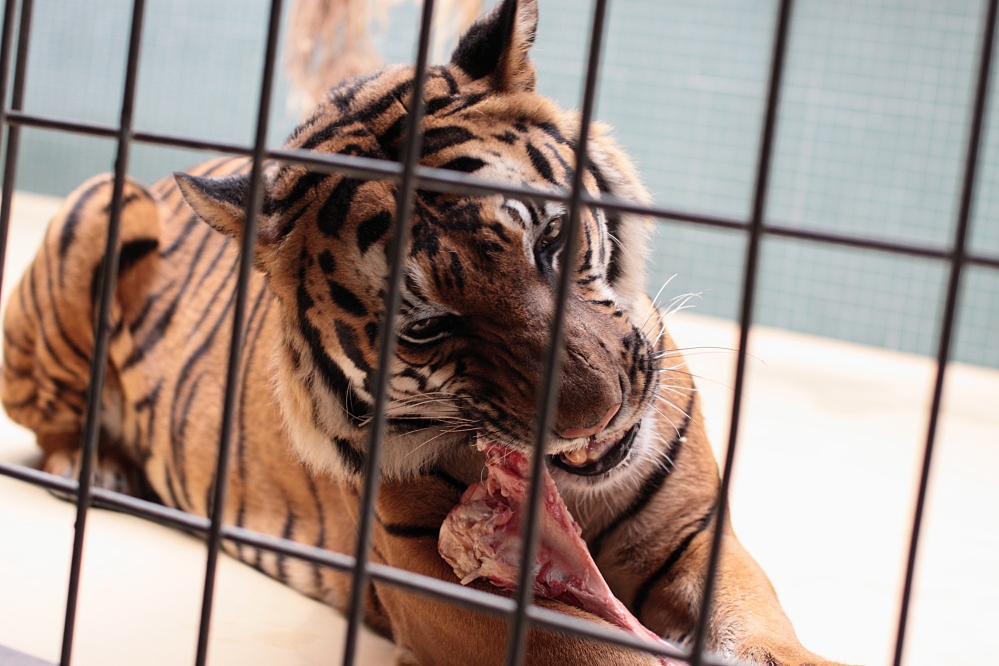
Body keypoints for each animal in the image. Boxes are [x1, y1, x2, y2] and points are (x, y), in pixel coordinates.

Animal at [0, 1, 848, 664]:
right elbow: (599, 653)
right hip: (106, 198)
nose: (598, 417)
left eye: (552, 241)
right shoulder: (442, 583)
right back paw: (100, 467)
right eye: (429, 326)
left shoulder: (692, 534)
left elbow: (758, 626)